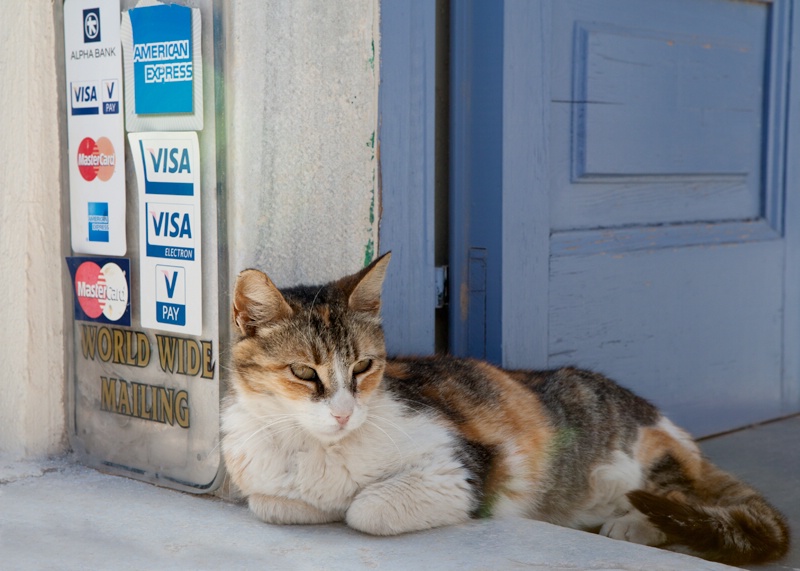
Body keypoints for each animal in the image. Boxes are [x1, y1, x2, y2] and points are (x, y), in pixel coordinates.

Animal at [222, 255, 792, 568]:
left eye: (363, 366)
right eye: (304, 372)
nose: (343, 413)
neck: (313, 449)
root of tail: (660, 418)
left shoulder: (466, 466)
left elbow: (368, 509)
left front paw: (354, 502)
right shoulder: (263, 487)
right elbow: (277, 504)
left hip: (641, 460)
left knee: (678, 498)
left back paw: (636, 526)